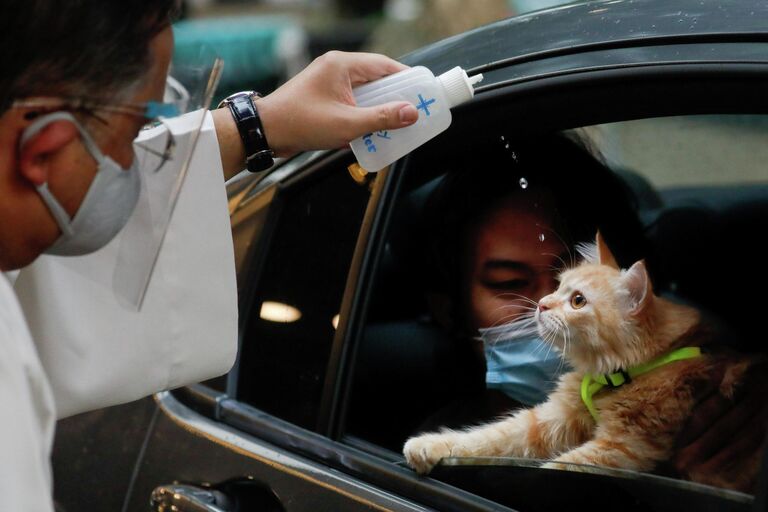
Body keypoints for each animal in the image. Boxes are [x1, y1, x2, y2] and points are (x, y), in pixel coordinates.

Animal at [404, 234, 752, 490]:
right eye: (558, 287)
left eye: (578, 301)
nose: (542, 304)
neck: (615, 375)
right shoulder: (552, 418)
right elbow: (491, 436)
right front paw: (431, 445)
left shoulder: (624, 447)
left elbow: (555, 468)